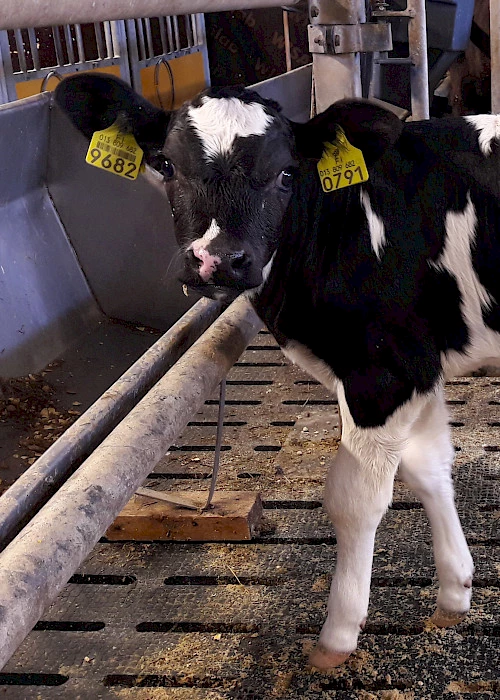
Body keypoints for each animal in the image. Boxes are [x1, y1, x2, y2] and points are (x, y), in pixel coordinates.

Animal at [55, 72, 500, 670]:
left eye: (288, 172)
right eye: (166, 164)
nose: (218, 260)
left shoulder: (381, 370)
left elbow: (353, 500)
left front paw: (337, 636)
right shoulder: (416, 366)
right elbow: (428, 468)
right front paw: (454, 594)